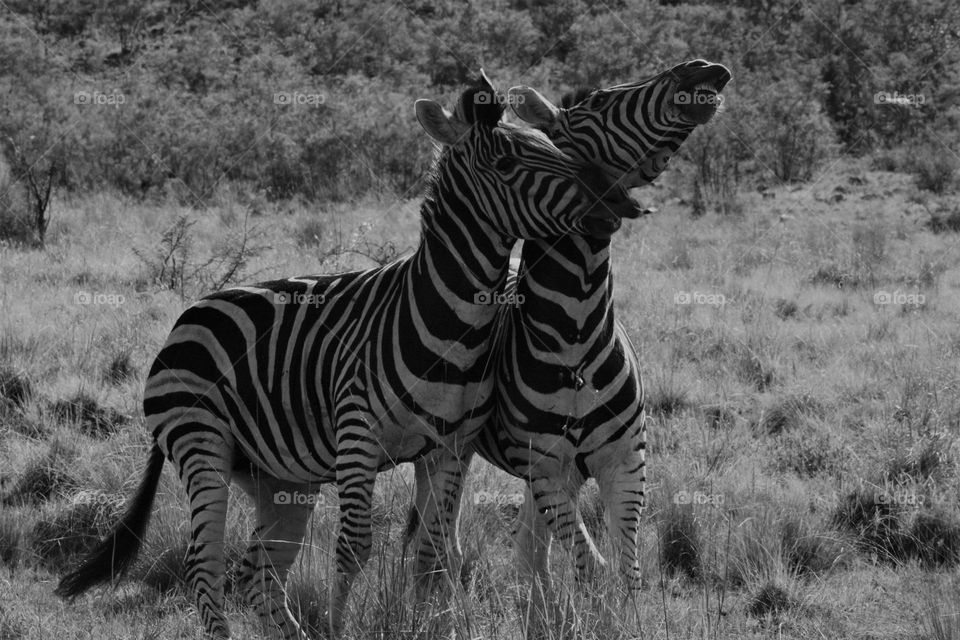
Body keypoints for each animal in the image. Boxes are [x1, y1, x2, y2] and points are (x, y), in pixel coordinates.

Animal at [54, 73, 635, 640]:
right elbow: (354, 549)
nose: (616, 204)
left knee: (259, 569)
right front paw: (341, 628)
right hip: (202, 443)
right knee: (206, 566)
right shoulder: (358, 437)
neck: (452, 324)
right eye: (507, 163)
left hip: (277, 476)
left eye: (550, 144)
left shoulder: (450, 447)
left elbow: (433, 552)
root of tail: (187, 316)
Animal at [408, 60, 732, 610]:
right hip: (479, 451)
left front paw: (622, 618)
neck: (577, 332)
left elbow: (627, 571)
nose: (704, 68)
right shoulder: (549, 469)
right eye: (599, 102)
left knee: (528, 549)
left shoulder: (625, 462)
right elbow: (591, 567)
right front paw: (590, 615)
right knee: (445, 529)